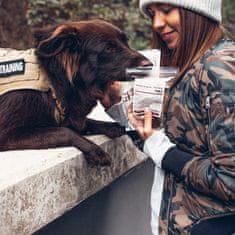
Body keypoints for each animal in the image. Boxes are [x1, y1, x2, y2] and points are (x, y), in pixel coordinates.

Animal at [0, 20, 151, 166]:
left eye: (126, 42)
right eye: (109, 48)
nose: (150, 65)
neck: (52, 80)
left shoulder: (71, 117)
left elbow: (91, 123)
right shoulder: (8, 134)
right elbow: (65, 132)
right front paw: (95, 151)